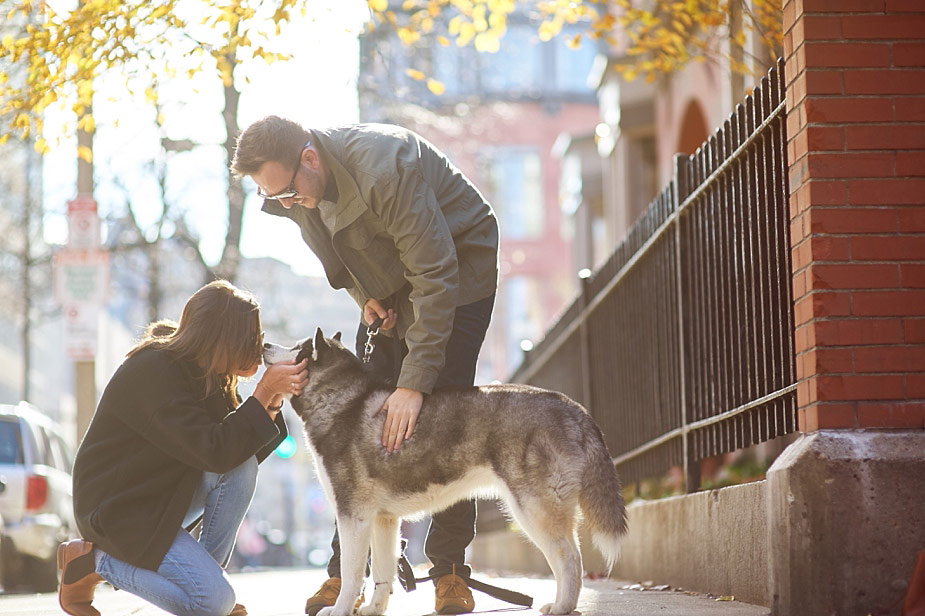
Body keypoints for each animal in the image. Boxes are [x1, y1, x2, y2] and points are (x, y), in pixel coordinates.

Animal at [266, 330, 628, 616]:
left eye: (297, 348)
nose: (266, 343)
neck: (342, 400)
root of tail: (572, 407)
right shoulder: (383, 520)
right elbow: (383, 572)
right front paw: (373, 609)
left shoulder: (353, 516)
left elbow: (353, 573)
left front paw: (340, 608)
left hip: (533, 510)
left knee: (569, 559)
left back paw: (563, 605)